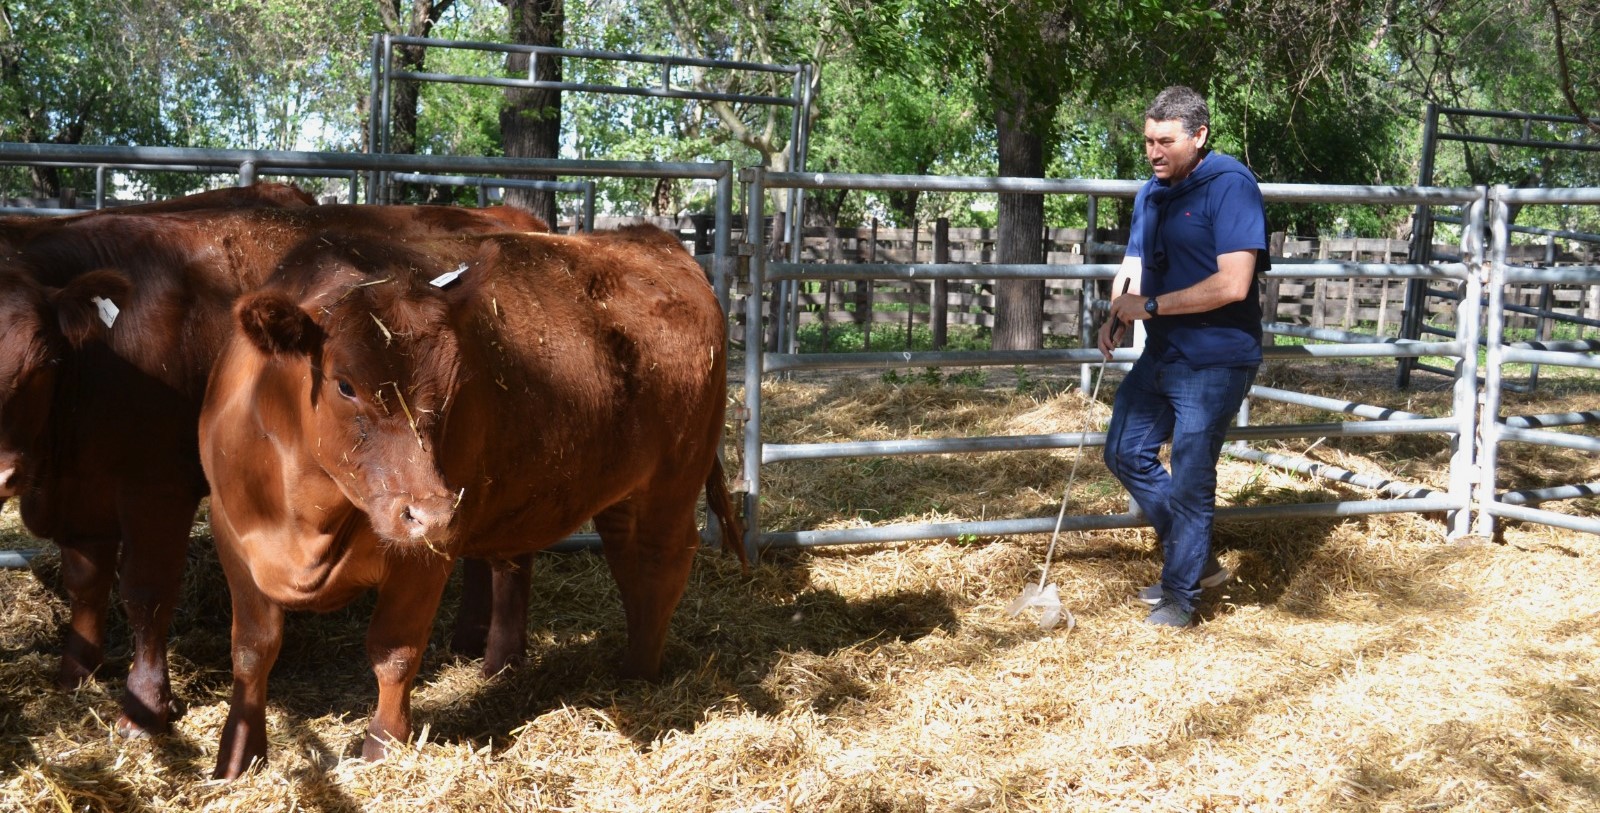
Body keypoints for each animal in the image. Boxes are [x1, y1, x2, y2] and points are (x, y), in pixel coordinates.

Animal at [0, 188, 547, 736]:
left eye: (44, 360)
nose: (4, 473)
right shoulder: (81, 493)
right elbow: (85, 584)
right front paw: (76, 672)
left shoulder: (156, 488)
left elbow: (144, 594)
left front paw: (144, 705)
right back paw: (469, 638)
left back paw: (500, 658)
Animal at [200, 225, 742, 777]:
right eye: (345, 384)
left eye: (454, 387)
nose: (432, 513)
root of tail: (649, 240)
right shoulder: (231, 533)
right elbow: (252, 651)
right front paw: (237, 759)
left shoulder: (425, 557)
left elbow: (394, 651)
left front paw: (384, 751)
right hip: (618, 490)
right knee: (621, 561)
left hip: (673, 479)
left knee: (659, 562)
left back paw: (639, 674)